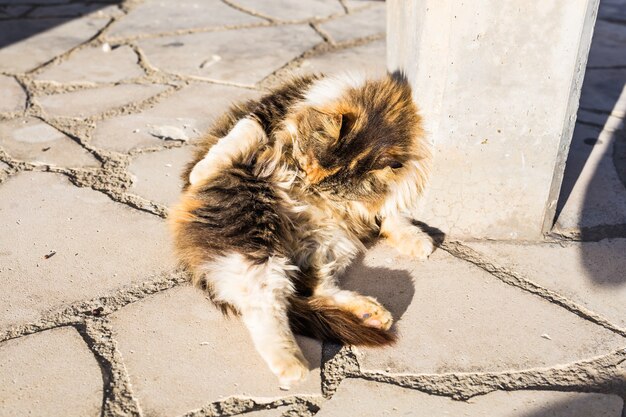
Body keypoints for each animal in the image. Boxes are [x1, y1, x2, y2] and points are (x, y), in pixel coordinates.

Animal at [171, 73, 434, 388]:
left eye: (331, 190)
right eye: (305, 163)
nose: (306, 187)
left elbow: (391, 212)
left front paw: (415, 239)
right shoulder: (276, 103)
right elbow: (246, 130)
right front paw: (200, 170)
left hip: (327, 246)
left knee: (310, 289)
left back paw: (369, 313)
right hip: (253, 228)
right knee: (263, 303)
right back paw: (292, 365)